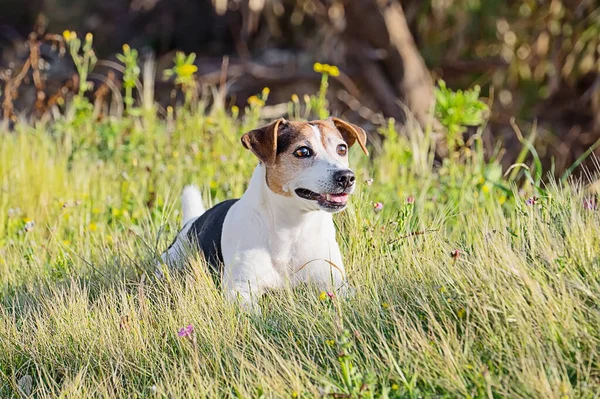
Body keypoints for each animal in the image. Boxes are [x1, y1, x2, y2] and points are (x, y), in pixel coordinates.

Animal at [157, 117, 368, 310]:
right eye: (302, 151)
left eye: (342, 149)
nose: (346, 177)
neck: (292, 226)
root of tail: (193, 220)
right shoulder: (240, 288)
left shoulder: (335, 283)